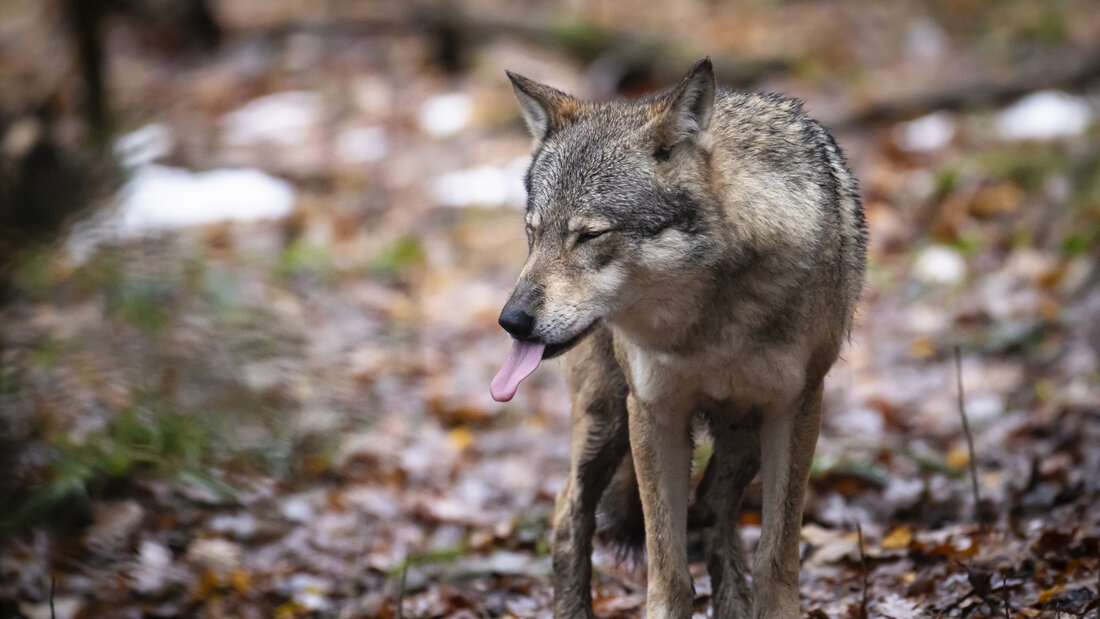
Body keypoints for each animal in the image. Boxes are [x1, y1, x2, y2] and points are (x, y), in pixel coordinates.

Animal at [490, 58, 866, 618]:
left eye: (590, 235)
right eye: (534, 233)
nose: (511, 321)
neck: (710, 325)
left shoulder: (795, 408)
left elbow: (776, 561)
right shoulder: (654, 412)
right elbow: (668, 576)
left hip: (741, 434)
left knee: (712, 509)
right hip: (606, 419)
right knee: (568, 513)